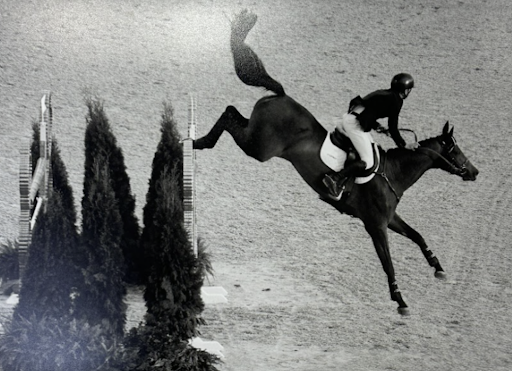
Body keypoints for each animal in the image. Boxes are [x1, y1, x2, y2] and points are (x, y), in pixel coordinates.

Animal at [192, 10, 476, 316]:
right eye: (457, 151)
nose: (475, 172)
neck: (393, 173)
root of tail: (281, 94)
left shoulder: (390, 219)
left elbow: (418, 236)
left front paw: (438, 267)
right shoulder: (375, 225)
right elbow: (388, 263)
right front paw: (400, 300)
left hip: (256, 136)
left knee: (232, 112)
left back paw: (199, 141)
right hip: (260, 148)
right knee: (230, 115)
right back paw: (199, 142)